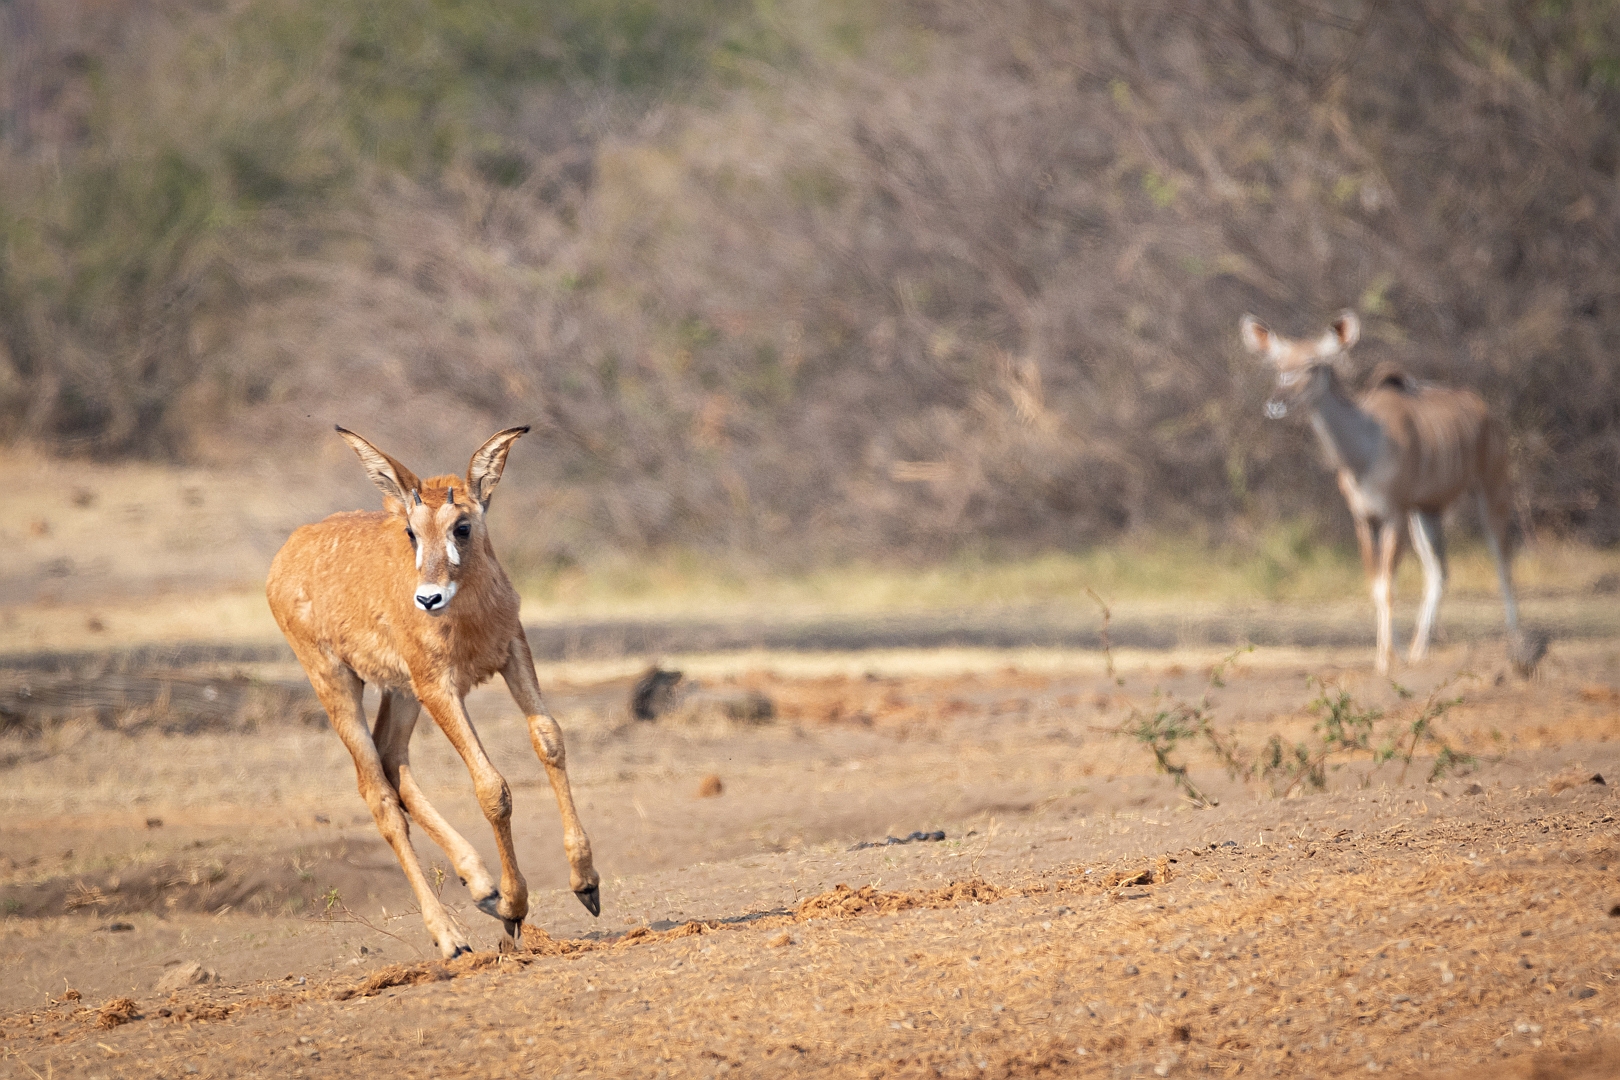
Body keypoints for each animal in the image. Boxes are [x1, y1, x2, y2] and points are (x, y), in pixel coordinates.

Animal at [268, 427, 599, 958]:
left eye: (462, 525)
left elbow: (548, 738)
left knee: (391, 758)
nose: (428, 598)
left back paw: (481, 886)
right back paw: (450, 935)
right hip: (336, 681)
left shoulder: (511, 650)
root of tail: (285, 555)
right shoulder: (440, 687)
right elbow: (491, 786)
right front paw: (514, 907)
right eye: (411, 531)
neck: (469, 614)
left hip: (402, 692)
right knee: (378, 793)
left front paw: (585, 882)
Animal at [1237, 310, 1529, 676]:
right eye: (1278, 364)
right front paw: (1394, 653)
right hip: (1427, 511)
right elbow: (1376, 586)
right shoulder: (1365, 519)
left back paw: (1517, 647)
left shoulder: (1394, 514)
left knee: (1503, 560)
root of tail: (1485, 410)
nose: (1276, 403)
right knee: (1439, 571)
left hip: (1491, 486)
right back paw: (1419, 651)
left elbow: (1388, 586)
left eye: (1314, 364)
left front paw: (1384, 661)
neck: (1366, 450)